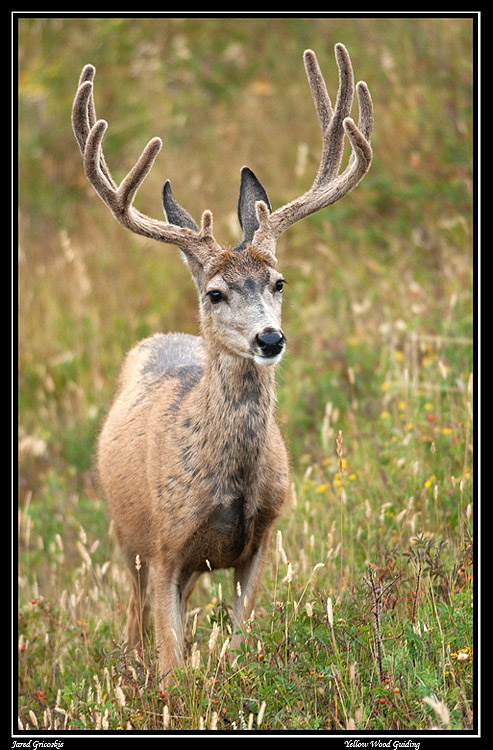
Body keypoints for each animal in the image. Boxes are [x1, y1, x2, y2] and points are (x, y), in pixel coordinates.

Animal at [71, 43, 373, 688]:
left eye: (279, 282)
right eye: (215, 293)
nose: (270, 337)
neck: (229, 479)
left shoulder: (261, 539)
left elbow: (240, 640)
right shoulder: (164, 548)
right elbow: (171, 666)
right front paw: (172, 694)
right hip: (124, 536)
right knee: (131, 622)